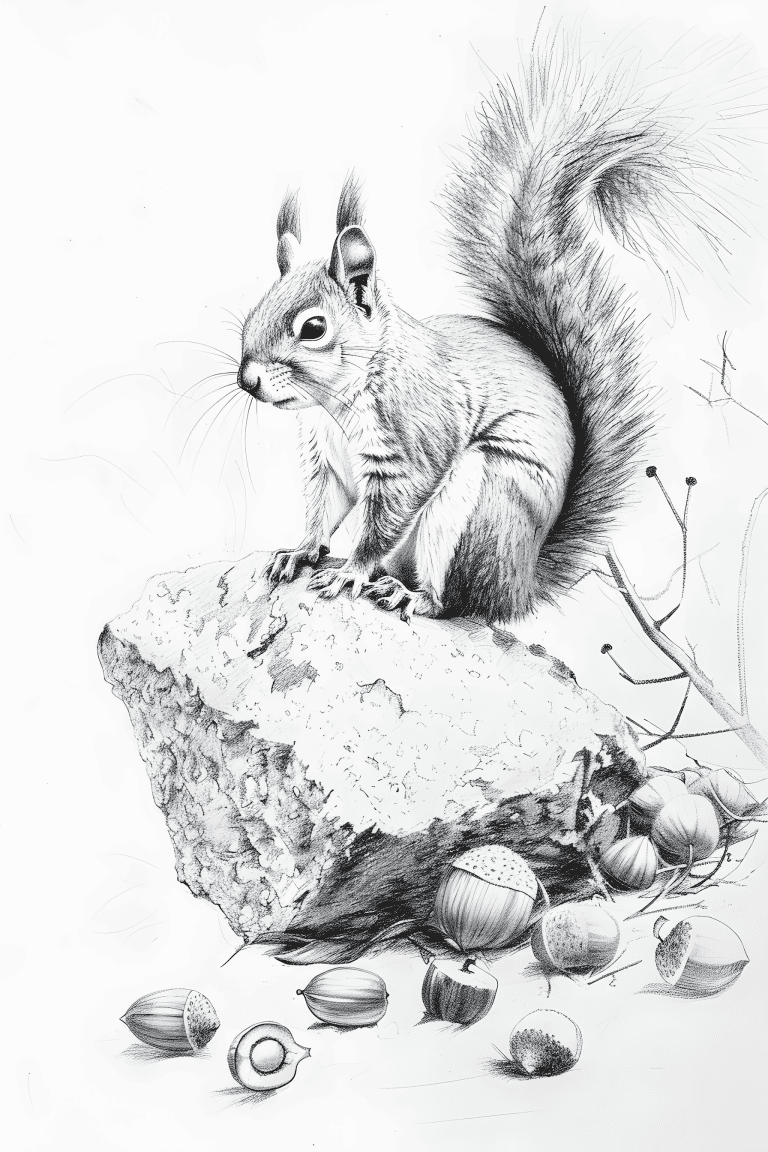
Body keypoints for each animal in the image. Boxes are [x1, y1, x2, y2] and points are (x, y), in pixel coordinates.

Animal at [237, 42, 730, 625]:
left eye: (313, 327)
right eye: (251, 314)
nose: (247, 380)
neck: (337, 403)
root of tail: (519, 586)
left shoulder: (414, 439)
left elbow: (383, 522)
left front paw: (349, 571)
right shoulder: (326, 463)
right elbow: (322, 513)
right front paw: (300, 551)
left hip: (478, 504)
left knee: (453, 600)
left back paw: (409, 594)